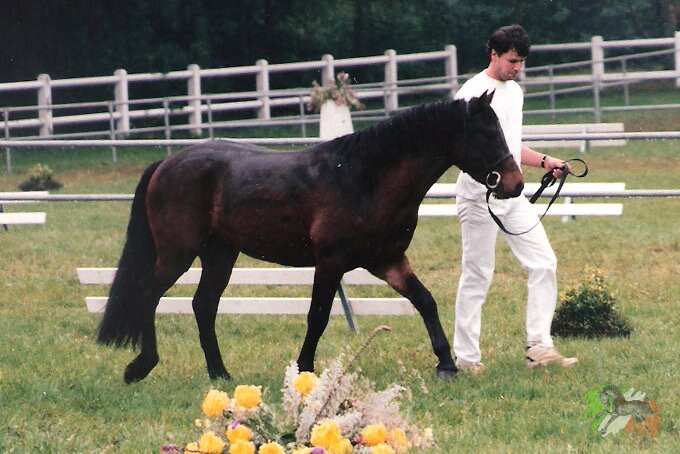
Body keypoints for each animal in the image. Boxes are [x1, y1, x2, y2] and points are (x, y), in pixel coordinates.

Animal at [97, 91, 524, 383]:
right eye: (486, 133)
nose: (516, 184)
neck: (365, 178)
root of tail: (167, 162)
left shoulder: (387, 261)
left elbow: (426, 301)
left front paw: (447, 364)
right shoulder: (330, 263)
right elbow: (317, 316)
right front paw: (303, 369)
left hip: (220, 255)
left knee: (203, 306)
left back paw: (220, 373)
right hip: (177, 254)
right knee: (148, 293)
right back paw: (141, 366)